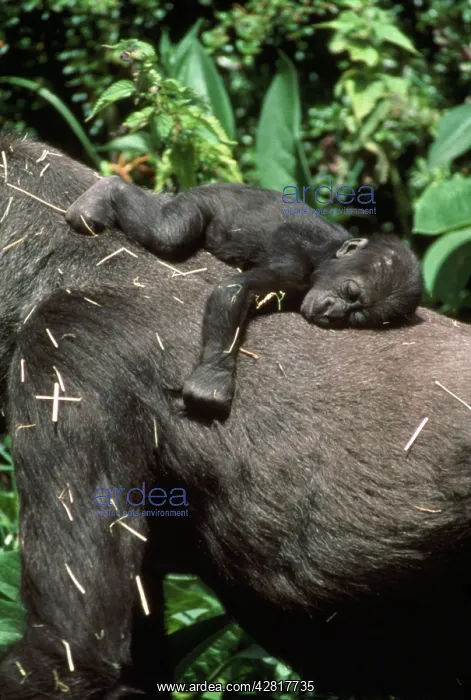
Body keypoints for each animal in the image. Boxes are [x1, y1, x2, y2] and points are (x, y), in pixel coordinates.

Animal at [66, 178, 422, 416]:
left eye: (358, 316)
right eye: (350, 292)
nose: (334, 313)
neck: (327, 256)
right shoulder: (295, 266)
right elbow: (234, 291)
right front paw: (213, 378)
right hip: (202, 200)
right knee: (168, 232)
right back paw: (106, 192)